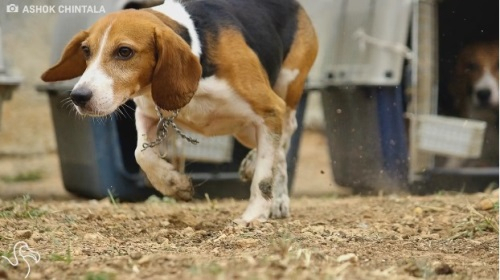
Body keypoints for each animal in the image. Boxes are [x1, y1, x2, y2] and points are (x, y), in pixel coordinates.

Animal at [41, 0, 318, 223]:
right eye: (86, 50)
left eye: (124, 52)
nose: (78, 96)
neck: (196, 47)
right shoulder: (147, 112)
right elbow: (141, 154)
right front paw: (174, 184)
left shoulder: (270, 110)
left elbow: (262, 178)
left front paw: (253, 216)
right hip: (244, 129)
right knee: (276, 151)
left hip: (285, 92)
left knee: (284, 140)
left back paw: (276, 196)